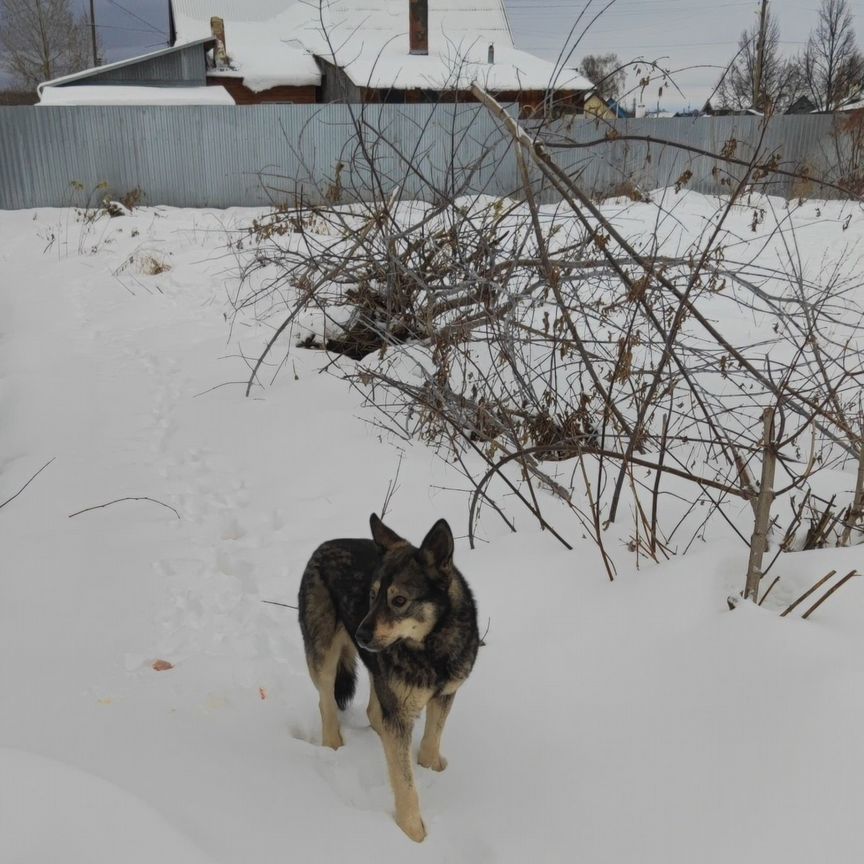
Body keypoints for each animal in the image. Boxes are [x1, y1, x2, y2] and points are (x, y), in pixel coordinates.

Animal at [296, 516, 480, 840]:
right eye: (372, 596)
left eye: (399, 600)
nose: (360, 634)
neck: (431, 649)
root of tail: (326, 544)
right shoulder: (400, 704)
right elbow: (404, 783)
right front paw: (413, 834)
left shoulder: (445, 694)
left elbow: (431, 741)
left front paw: (431, 768)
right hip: (325, 656)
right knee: (326, 702)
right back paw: (334, 745)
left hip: (378, 670)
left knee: (375, 711)